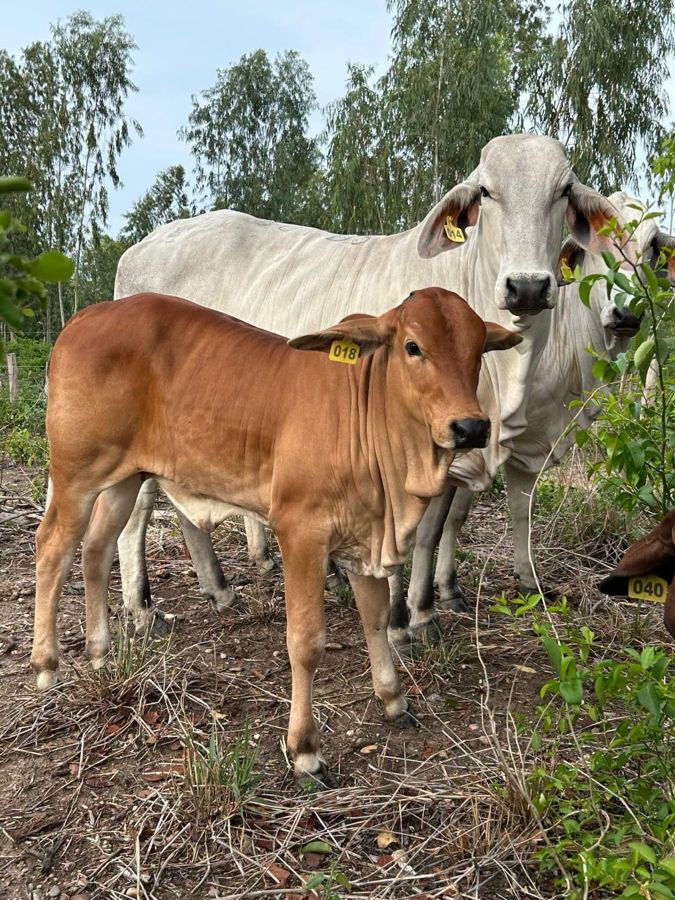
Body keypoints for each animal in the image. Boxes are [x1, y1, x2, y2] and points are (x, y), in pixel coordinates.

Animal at [30, 288, 520, 786]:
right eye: (413, 346)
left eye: (479, 349)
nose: (471, 427)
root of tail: (84, 318)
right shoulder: (300, 533)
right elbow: (305, 642)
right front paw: (305, 750)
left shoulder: (365, 538)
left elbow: (376, 619)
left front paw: (393, 700)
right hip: (75, 474)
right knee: (52, 547)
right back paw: (47, 664)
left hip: (125, 477)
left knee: (96, 549)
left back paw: (99, 652)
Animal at [111, 134, 628, 640]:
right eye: (485, 191)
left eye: (563, 190)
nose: (527, 287)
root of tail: (138, 249)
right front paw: (401, 620)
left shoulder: (459, 445)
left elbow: (435, 529)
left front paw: (425, 610)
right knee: (136, 509)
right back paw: (141, 610)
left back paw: (217, 590)